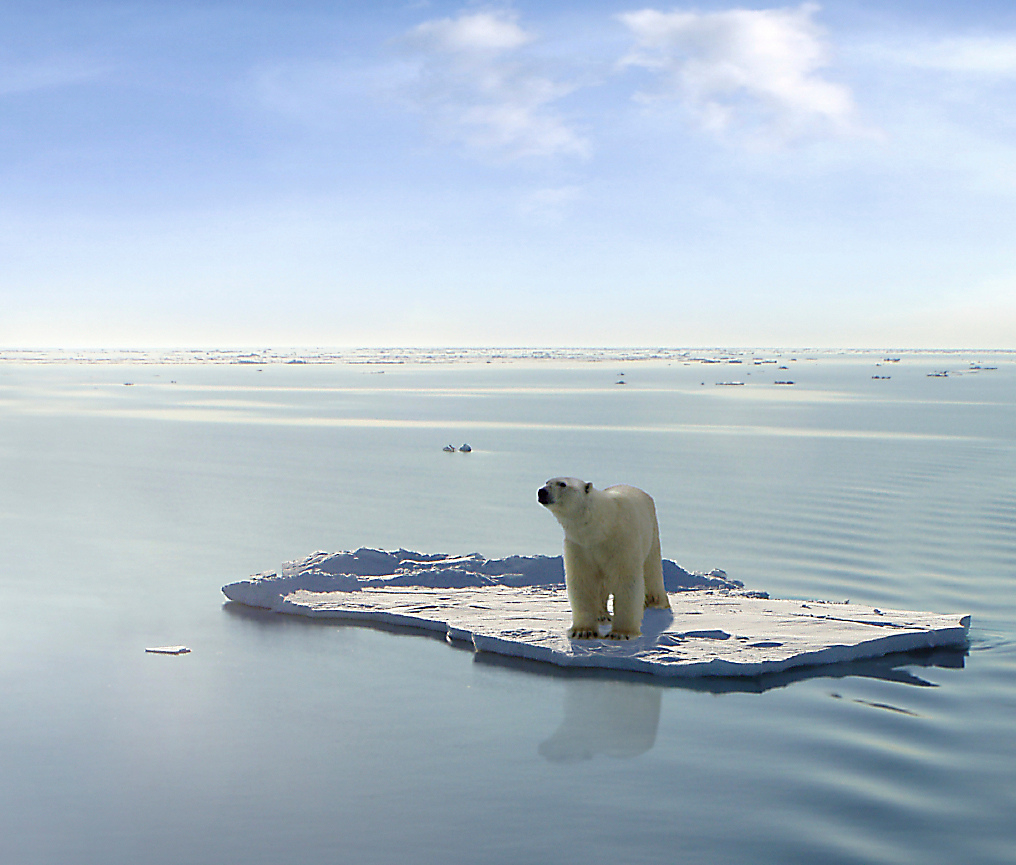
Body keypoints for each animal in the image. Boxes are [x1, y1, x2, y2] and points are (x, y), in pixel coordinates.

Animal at [536, 477, 670, 638]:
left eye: (562, 484)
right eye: (547, 482)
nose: (542, 492)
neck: (600, 528)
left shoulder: (622, 542)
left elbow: (626, 581)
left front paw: (620, 633)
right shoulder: (580, 546)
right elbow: (583, 581)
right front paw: (583, 631)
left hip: (651, 533)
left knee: (652, 570)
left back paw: (657, 603)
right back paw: (602, 615)